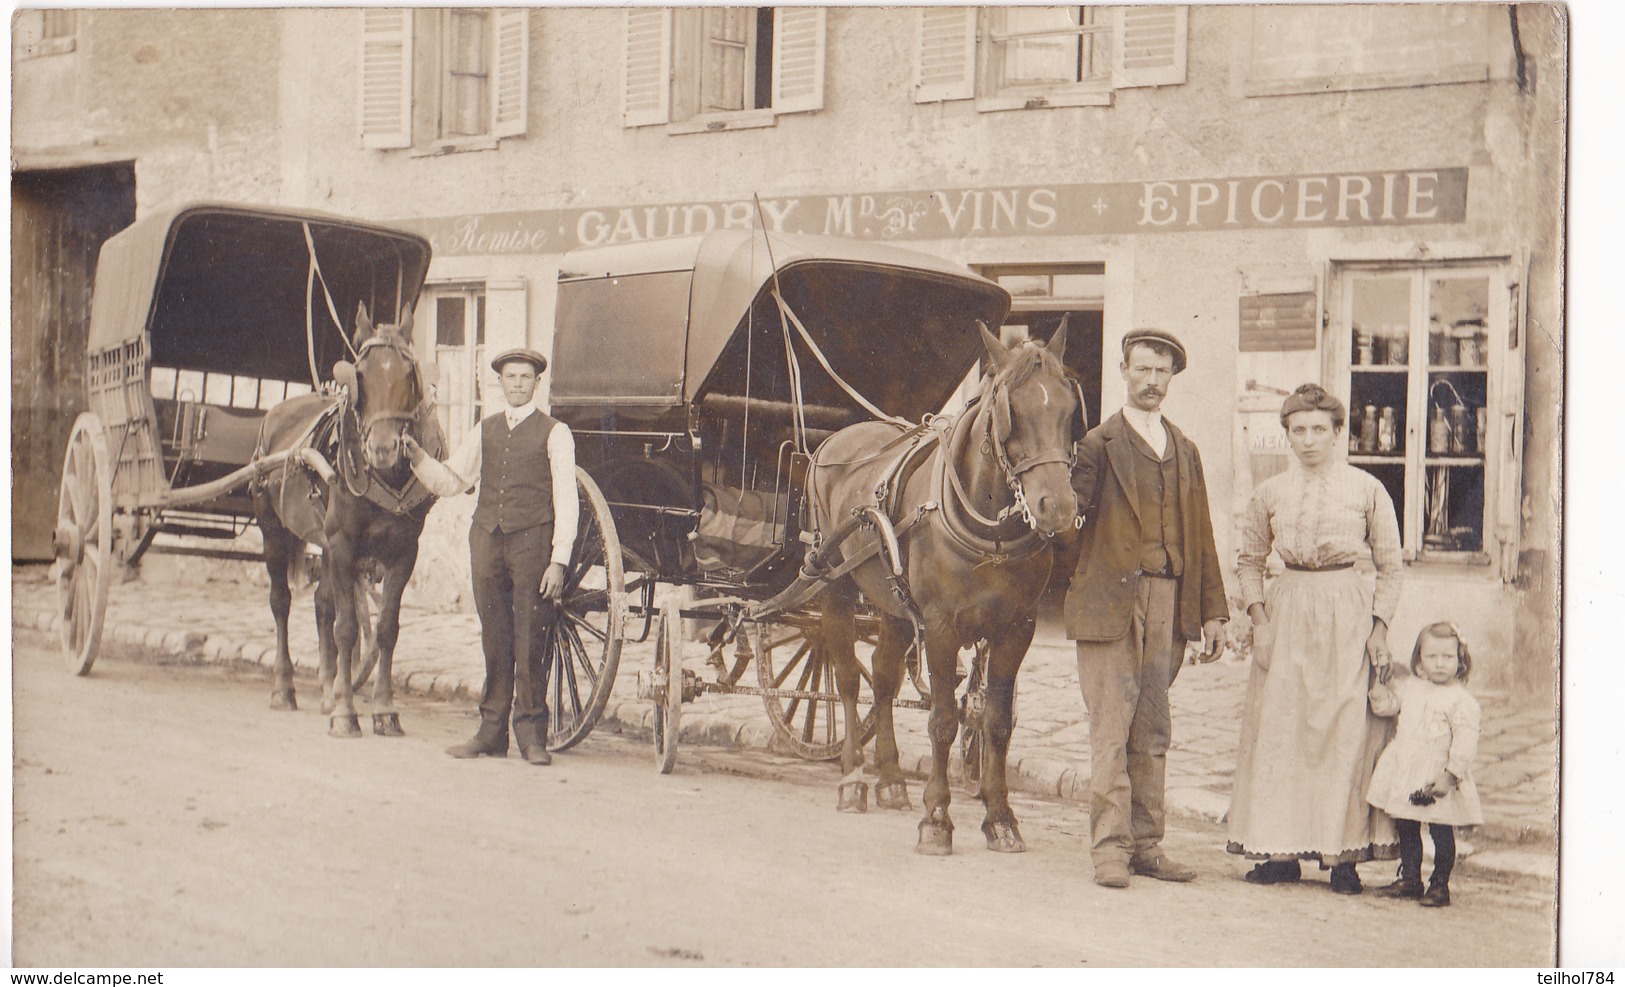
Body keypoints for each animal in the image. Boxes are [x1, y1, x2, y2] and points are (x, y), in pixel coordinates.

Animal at [248, 305, 442, 738]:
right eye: (360, 374)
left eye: (408, 374)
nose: (383, 449)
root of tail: (277, 412)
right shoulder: (341, 545)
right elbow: (348, 628)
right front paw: (345, 713)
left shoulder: (405, 551)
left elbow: (385, 630)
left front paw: (384, 709)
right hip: (274, 531)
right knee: (281, 603)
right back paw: (284, 688)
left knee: (323, 605)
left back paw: (327, 688)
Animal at [809, 325, 1079, 858]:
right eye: (1010, 412)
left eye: (1067, 406)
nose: (1058, 507)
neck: (990, 532)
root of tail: (836, 439)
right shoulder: (939, 627)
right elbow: (943, 721)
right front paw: (937, 818)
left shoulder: (1017, 629)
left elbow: (996, 722)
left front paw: (1000, 818)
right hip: (837, 586)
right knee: (847, 678)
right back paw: (853, 778)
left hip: (893, 602)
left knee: (883, 676)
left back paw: (891, 778)